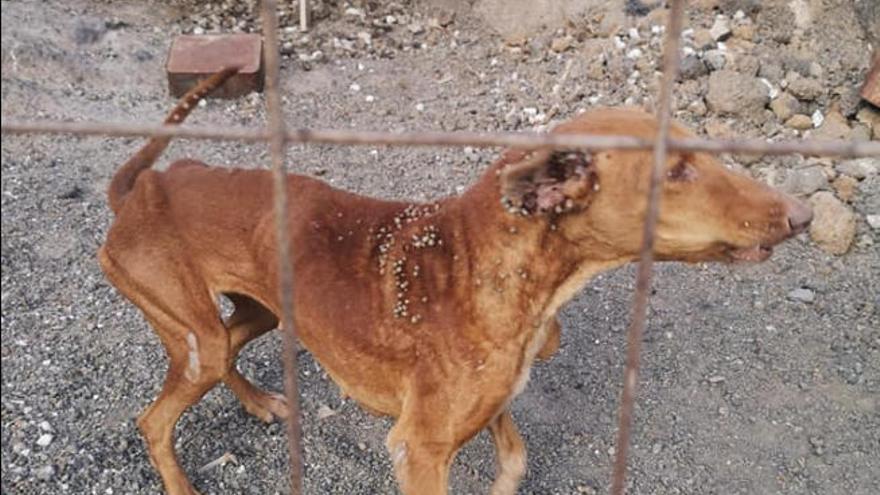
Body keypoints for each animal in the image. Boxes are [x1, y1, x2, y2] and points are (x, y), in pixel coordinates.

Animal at [96, 70, 812, 495]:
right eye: (677, 171)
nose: (802, 215)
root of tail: (141, 188)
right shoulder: (418, 449)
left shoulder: (486, 405)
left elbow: (514, 459)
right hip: (192, 332)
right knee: (155, 419)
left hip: (256, 315)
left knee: (228, 353)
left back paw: (259, 401)